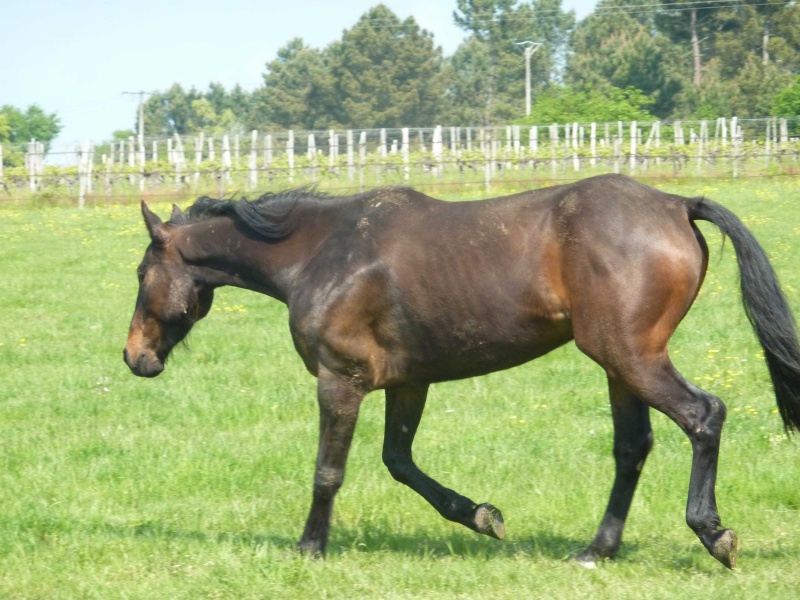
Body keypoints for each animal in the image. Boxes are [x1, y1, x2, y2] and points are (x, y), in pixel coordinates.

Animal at [125, 173, 800, 568]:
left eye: (139, 273)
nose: (135, 357)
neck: (321, 252)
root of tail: (675, 203)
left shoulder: (341, 380)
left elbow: (328, 472)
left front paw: (310, 547)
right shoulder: (407, 382)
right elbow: (399, 462)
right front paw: (482, 516)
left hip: (633, 357)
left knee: (704, 415)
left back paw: (713, 534)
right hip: (619, 366)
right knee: (633, 447)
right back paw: (596, 550)